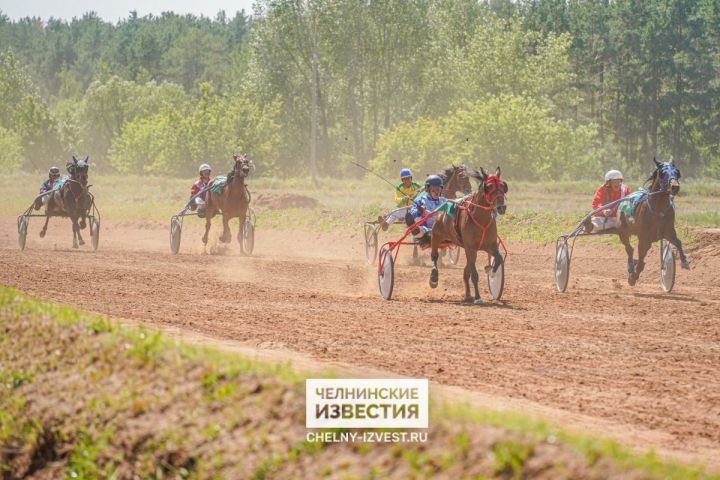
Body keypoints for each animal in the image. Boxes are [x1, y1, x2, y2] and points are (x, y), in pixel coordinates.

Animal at [430, 167, 510, 306]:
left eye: (502, 185)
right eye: (489, 186)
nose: (501, 207)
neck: (481, 218)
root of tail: (443, 210)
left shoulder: (490, 246)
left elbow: (499, 259)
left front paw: (491, 271)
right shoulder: (471, 248)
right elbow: (474, 275)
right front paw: (478, 297)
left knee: (465, 272)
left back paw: (467, 295)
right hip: (437, 236)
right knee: (434, 256)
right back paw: (434, 278)